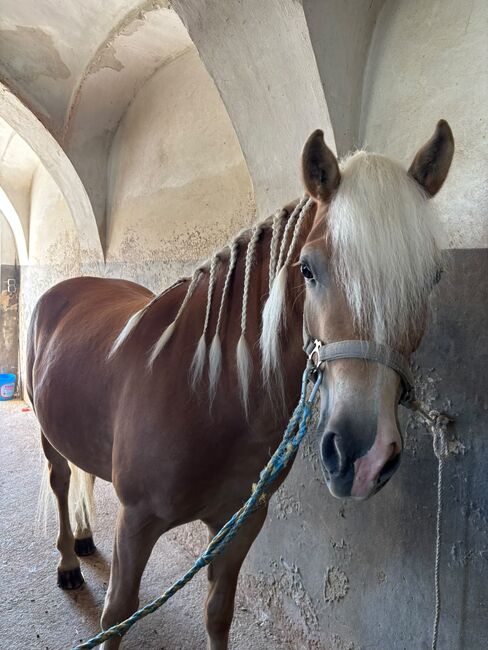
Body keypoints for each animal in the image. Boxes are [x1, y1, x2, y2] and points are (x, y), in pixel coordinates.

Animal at [27, 120, 454, 649]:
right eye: (307, 269)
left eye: (432, 276)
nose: (361, 456)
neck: (207, 394)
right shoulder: (136, 521)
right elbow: (117, 615)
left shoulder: (242, 520)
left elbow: (218, 614)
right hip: (48, 437)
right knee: (61, 481)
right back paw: (68, 561)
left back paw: (85, 540)